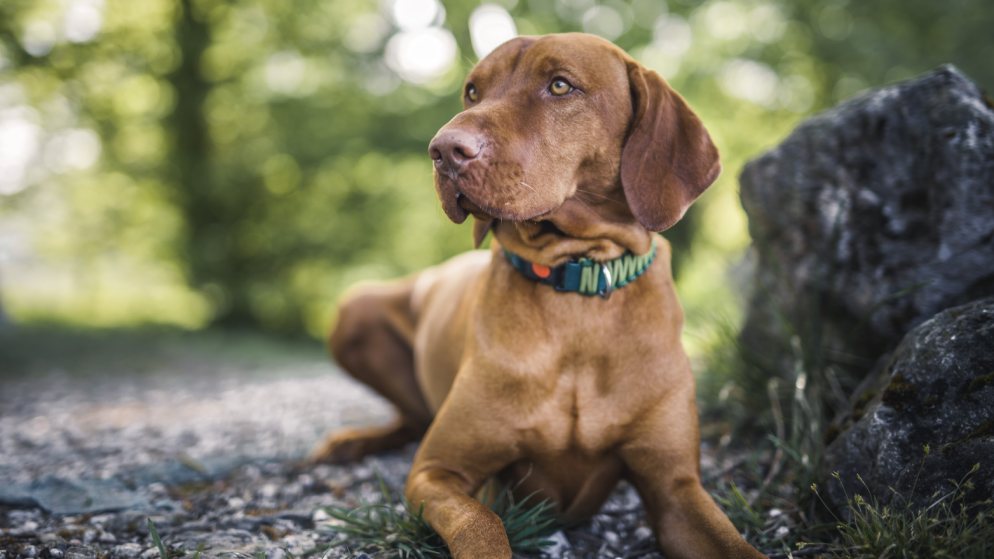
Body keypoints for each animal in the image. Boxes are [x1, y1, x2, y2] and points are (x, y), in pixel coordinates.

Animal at [314, 34, 764, 559]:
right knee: (411, 418)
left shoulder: (675, 489)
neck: (576, 281)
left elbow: (736, 545)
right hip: (355, 310)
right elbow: (482, 523)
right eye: (472, 91)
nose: (443, 150)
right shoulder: (436, 472)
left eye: (560, 85)